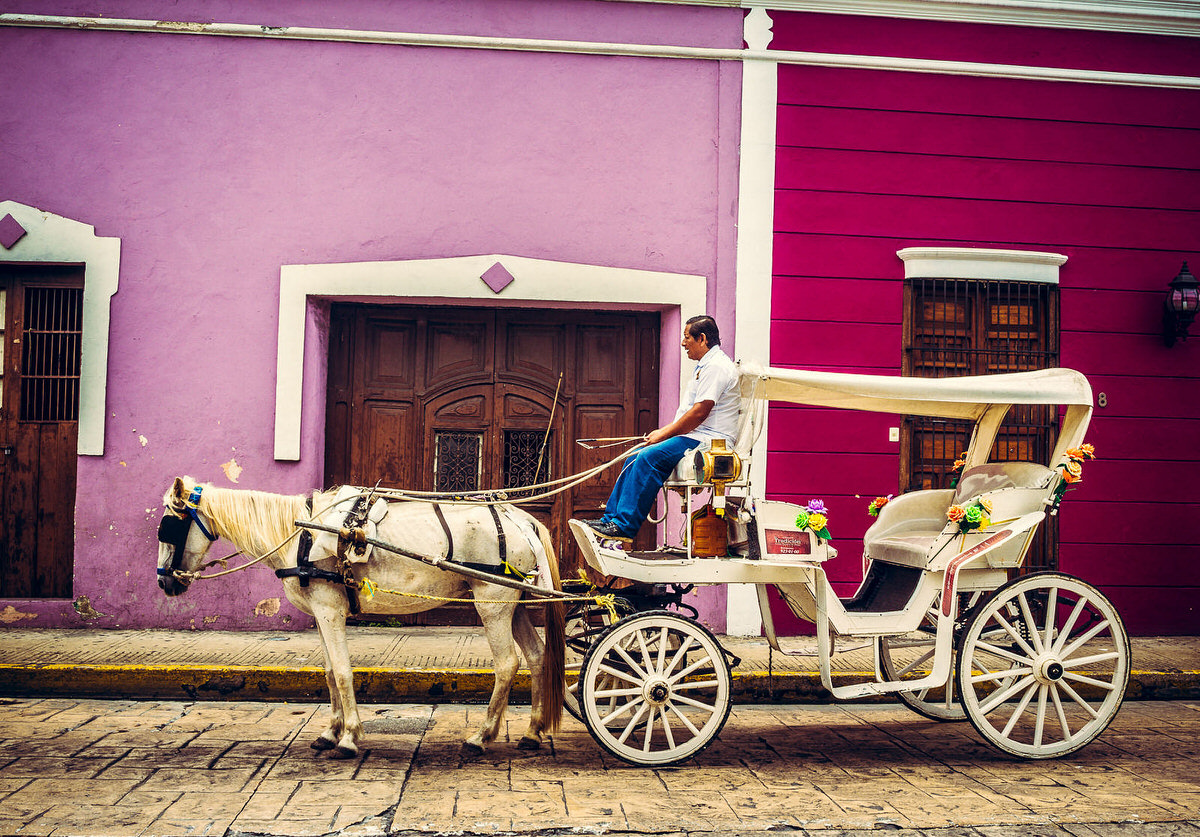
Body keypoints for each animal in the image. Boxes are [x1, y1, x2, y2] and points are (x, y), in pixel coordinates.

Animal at [157, 474, 564, 757]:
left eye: (170, 525)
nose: (164, 581)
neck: (302, 534)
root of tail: (521, 519)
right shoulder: (320, 614)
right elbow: (327, 673)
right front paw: (330, 732)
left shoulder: (330, 610)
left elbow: (341, 671)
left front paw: (349, 737)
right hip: (515, 603)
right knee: (537, 656)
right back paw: (532, 732)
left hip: (493, 601)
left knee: (508, 664)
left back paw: (481, 737)